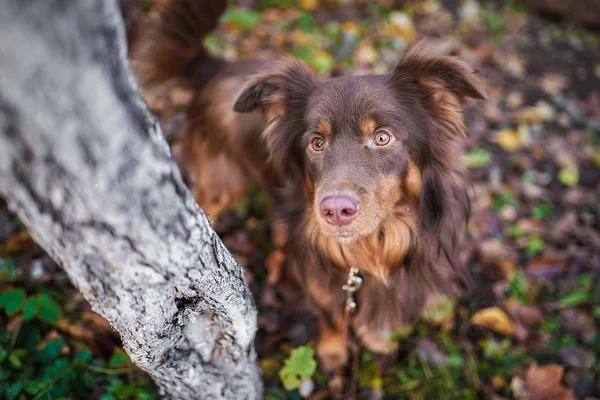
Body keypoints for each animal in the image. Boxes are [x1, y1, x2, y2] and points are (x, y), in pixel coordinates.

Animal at [130, 0, 482, 388]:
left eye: (382, 137)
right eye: (316, 143)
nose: (335, 211)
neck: (371, 249)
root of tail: (218, 67)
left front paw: (378, 342)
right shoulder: (317, 272)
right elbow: (329, 314)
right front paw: (333, 354)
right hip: (220, 186)